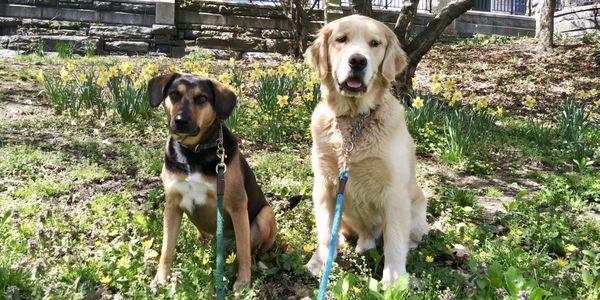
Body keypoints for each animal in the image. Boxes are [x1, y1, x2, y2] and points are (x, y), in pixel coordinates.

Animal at [148, 73, 276, 290]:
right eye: (174, 94)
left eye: (202, 99)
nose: (180, 121)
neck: (194, 151)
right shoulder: (172, 205)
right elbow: (166, 248)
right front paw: (160, 279)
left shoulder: (237, 205)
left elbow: (243, 251)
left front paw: (243, 282)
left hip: (265, 214)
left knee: (252, 249)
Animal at [304, 15, 426, 288]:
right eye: (341, 39)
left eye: (374, 43)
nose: (358, 61)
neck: (354, 120)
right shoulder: (324, 184)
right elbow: (324, 231)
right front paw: (320, 263)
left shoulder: (395, 193)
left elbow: (394, 242)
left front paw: (394, 280)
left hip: (417, 208)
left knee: (409, 237)